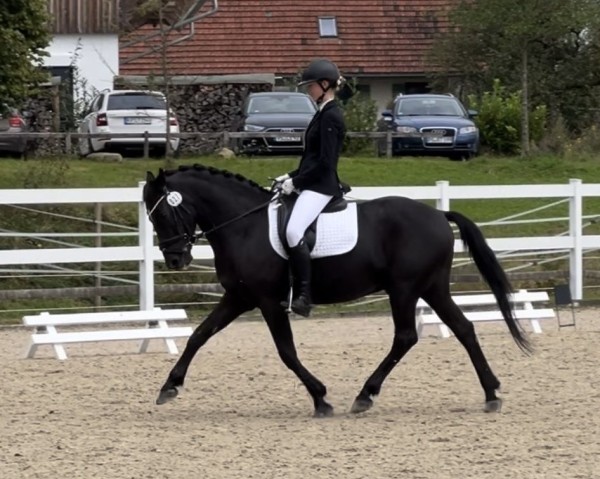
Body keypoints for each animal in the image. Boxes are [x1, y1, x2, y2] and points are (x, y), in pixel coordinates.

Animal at [144, 164, 528, 416]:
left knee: (406, 336)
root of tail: (438, 214)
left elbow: (286, 351)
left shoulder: (267, 301)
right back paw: (491, 393)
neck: (243, 226)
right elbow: (198, 336)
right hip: (431, 287)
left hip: (404, 288)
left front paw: (320, 398)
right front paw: (169, 386)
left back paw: (365, 395)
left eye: (162, 214)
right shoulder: (239, 297)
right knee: (464, 328)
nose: (175, 260)